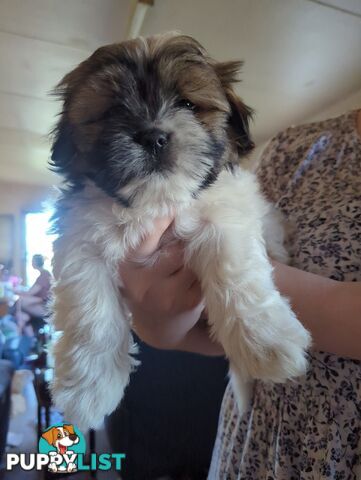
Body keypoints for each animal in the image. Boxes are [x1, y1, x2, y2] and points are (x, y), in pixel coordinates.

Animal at [49, 32, 310, 428]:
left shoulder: (226, 215)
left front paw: (265, 340)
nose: (153, 136)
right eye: (112, 111)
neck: (155, 204)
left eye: (187, 103)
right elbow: (90, 313)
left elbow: (236, 273)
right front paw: (88, 387)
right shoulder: (80, 240)